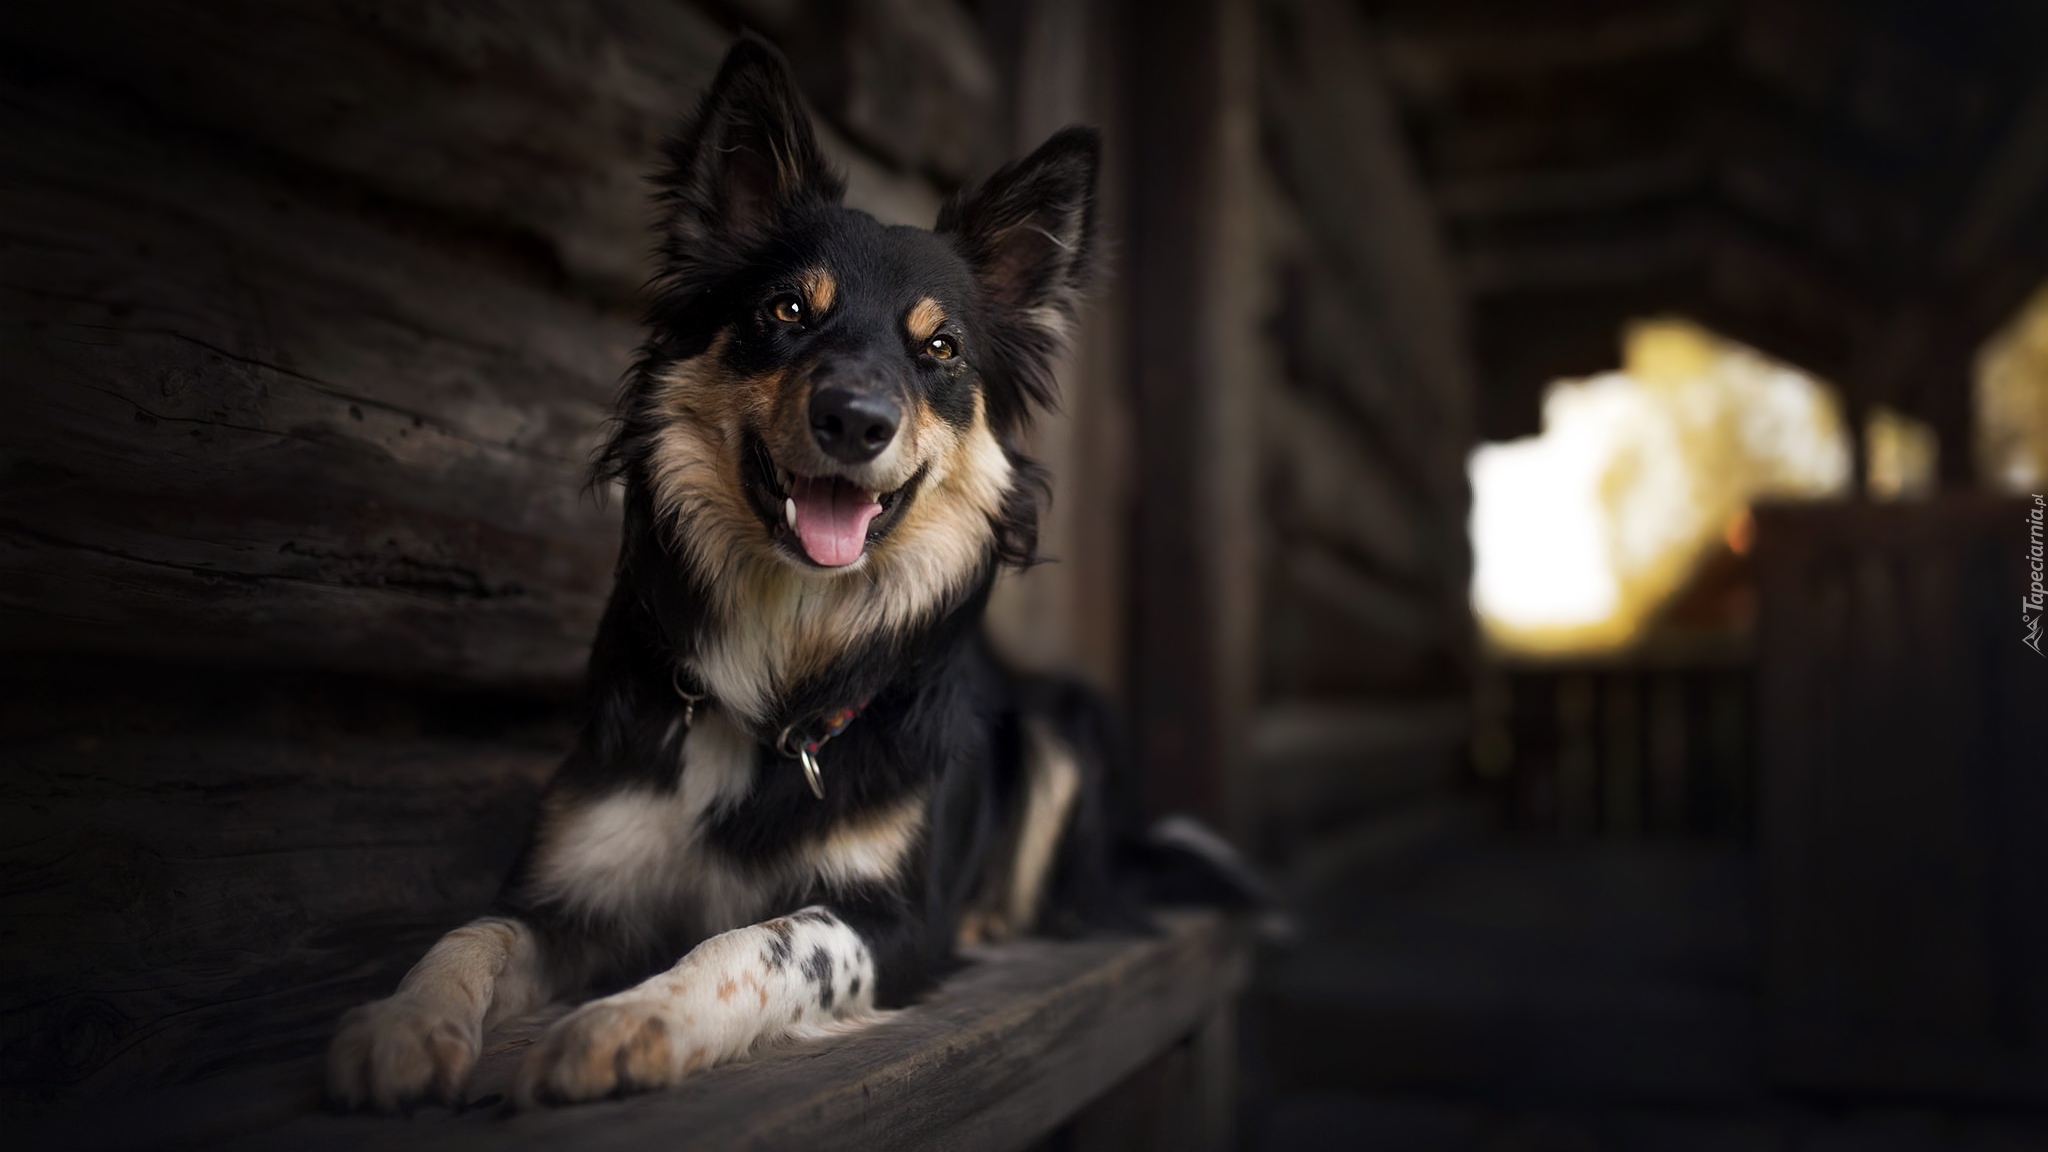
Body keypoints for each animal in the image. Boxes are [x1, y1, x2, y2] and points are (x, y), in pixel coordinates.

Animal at [319, 40, 1122, 1106]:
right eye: (788, 310)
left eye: (940, 348)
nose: (856, 420)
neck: (786, 646)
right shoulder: (572, 889)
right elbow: (471, 933)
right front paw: (406, 1021)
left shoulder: (895, 923)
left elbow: (765, 938)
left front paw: (633, 1019)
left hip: (1068, 725)